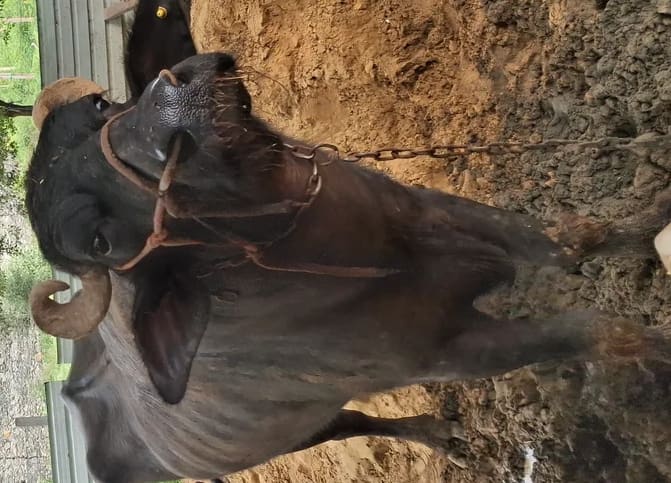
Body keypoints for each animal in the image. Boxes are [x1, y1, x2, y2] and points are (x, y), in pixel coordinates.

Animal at [25, 1, 671, 481]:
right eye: (100, 240)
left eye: (102, 104)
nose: (172, 106)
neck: (354, 249)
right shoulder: (449, 351)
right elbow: (600, 332)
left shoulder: (437, 212)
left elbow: (569, 240)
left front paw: (651, 213)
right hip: (298, 432)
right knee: (357, 422)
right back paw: (438, 433)